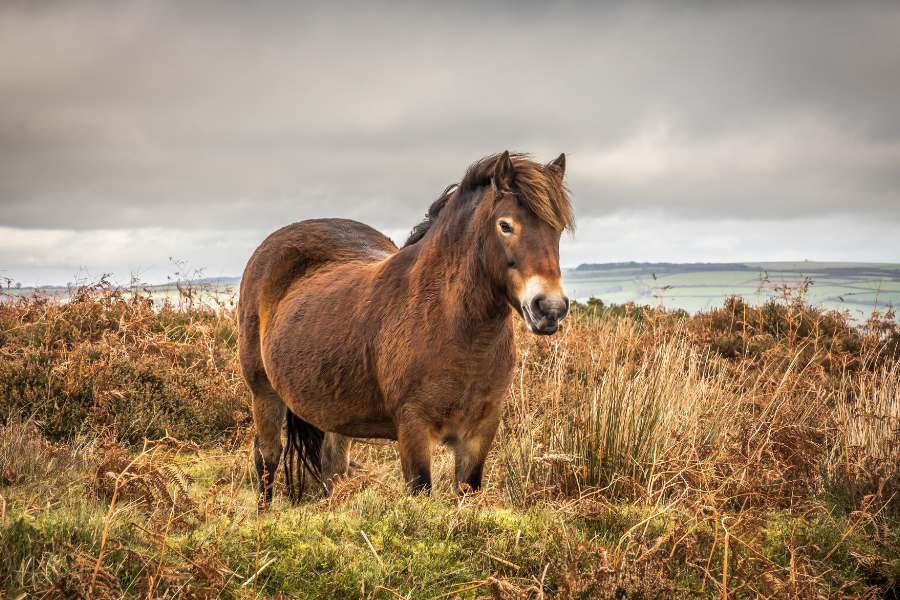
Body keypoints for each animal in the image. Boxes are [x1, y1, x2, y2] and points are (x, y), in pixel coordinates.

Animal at [238, 151, 575, 505]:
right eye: (506, 225)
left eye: (557, 229)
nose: (550, 308)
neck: (454, 329)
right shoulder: (414, 429)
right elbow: (420, 492)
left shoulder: (480, 433)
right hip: (263, 392)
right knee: (267, 459)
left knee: (333, 468)